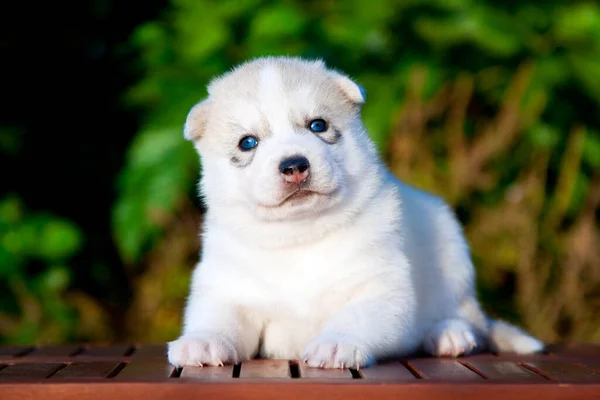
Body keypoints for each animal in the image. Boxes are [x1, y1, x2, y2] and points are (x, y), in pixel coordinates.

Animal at [166, 56, 548, 368]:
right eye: (248, 142)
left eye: (318, 125)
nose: (294, 165)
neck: (299, 233)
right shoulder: (229, 290)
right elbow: (218, 318)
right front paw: (201, 342)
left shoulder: (379, 288)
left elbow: (354, 318)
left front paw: (336, 344)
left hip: (454, 264)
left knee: (467, 318)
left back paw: (449, 335)